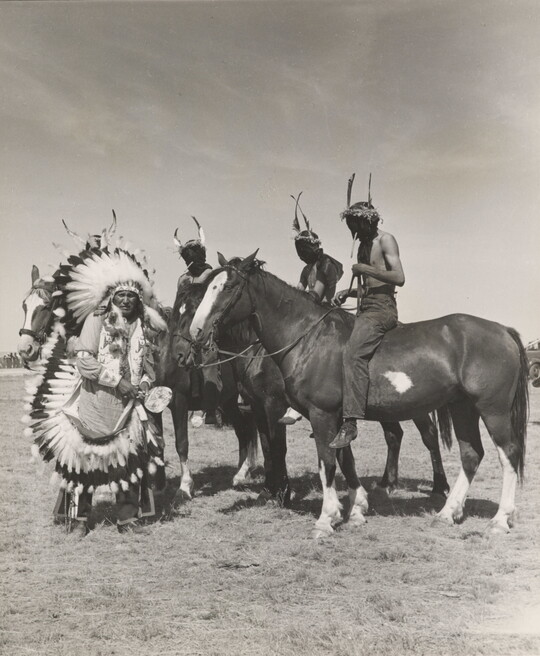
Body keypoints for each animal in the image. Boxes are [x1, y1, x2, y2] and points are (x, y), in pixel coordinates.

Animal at [175, 277, 451, 498]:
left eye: (195, 307)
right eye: (178, 309)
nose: (181, 353)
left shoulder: (273, 405)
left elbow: (277, 446)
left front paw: (282, 491)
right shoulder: (257, 406)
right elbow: (266, 444)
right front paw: (269, 488)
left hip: (414, 406)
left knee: (428, 435)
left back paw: (440, 486)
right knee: (394, 436)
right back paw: (387, 484)